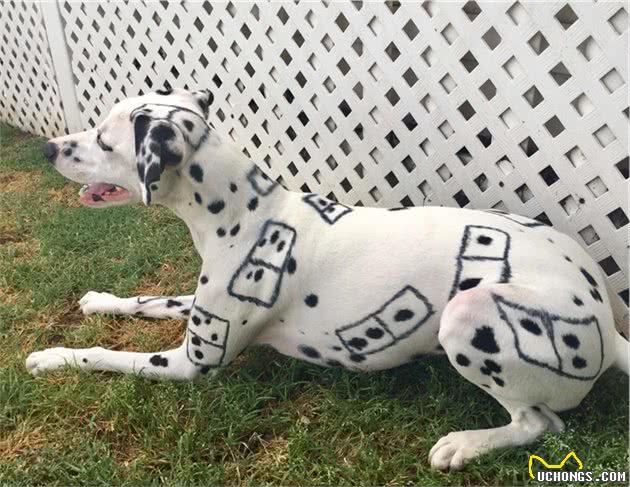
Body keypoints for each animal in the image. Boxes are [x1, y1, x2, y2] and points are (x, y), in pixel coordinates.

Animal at [30, 88, 630, 472]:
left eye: (104, 141)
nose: (49, 147)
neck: (248, 211)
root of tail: (606, 318)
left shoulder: (191, 364)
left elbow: (103, 355)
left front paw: (53, 355)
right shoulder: (198, 310)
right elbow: (148, 300)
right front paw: (99, 300)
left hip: (471, 314)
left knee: (539, 424)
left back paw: (463, 444)